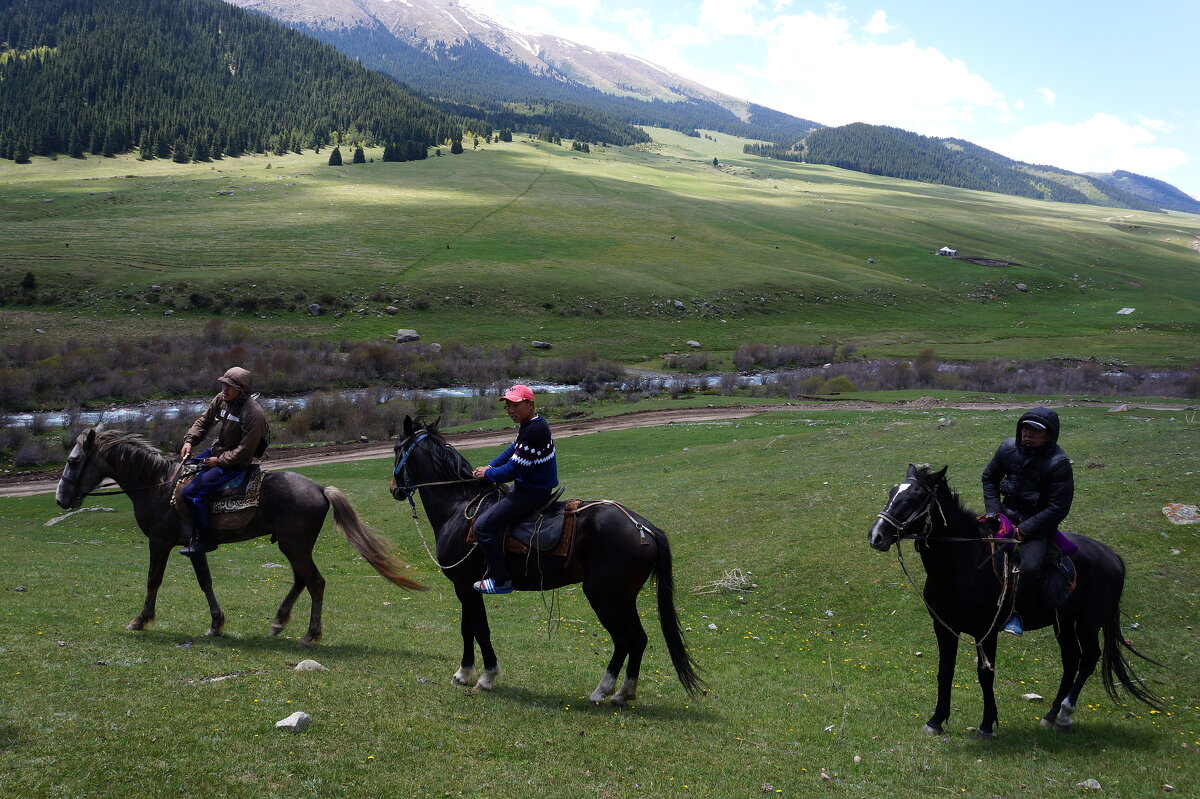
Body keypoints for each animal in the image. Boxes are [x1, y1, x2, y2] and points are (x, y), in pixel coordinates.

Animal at [388, 412, 700, 700]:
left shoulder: (465, 585)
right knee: (638, 639)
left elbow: (480, 629)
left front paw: (486, 677)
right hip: (623, 598)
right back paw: (624, 692)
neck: (459, 507)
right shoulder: (465, 586)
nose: (393, 489)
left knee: (624, 639)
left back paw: (603, 689)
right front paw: (464, 673)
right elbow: (468, 628)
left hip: (603, 596)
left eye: (395, 449)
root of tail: (644, 528)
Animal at [868, 463, 1156, 739]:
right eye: (892, 493)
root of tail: (1112, 556)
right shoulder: (944, 627)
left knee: (1088, 658)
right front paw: (936, 721)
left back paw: (1064, 716)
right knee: (1071, 658)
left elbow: (986, 675)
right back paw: (1051, 715)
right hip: (1063, 622)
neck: (964, 563)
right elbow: (945, 672)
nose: (876, 536)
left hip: (1088, 622)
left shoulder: (985, 631)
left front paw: (987, 725)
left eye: (914, 498)